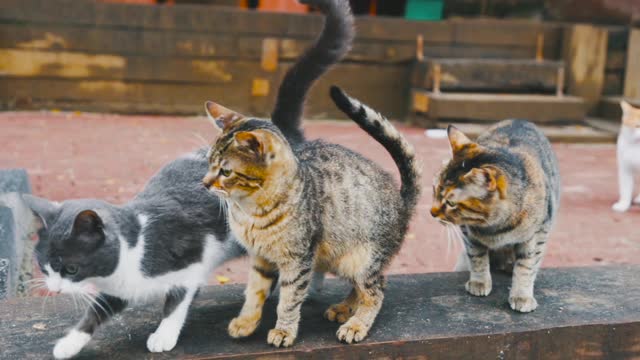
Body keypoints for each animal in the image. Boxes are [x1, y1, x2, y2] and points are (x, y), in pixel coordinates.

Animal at [201, 83, 420, 346]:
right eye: (208, 163)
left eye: (225, 171)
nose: (204, 184)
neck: (249, 210)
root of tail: (402, 200)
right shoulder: (261, 257)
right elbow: (254, 291)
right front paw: (246, 322)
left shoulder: (298, 260)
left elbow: (289, 300)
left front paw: (284, 331)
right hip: (339, 259)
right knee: (363, 286)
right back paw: (344, 308)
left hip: (361, 259)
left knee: (376, 290)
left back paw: (356, 324)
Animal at [430, 120, 560, 312]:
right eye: (435, 189)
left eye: (451, 203)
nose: (431, 212)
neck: (495, 227)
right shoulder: (469, 233)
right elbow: (477, 257)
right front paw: (479, 282)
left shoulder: (538, 233)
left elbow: (526, 265)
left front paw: (522, 295)